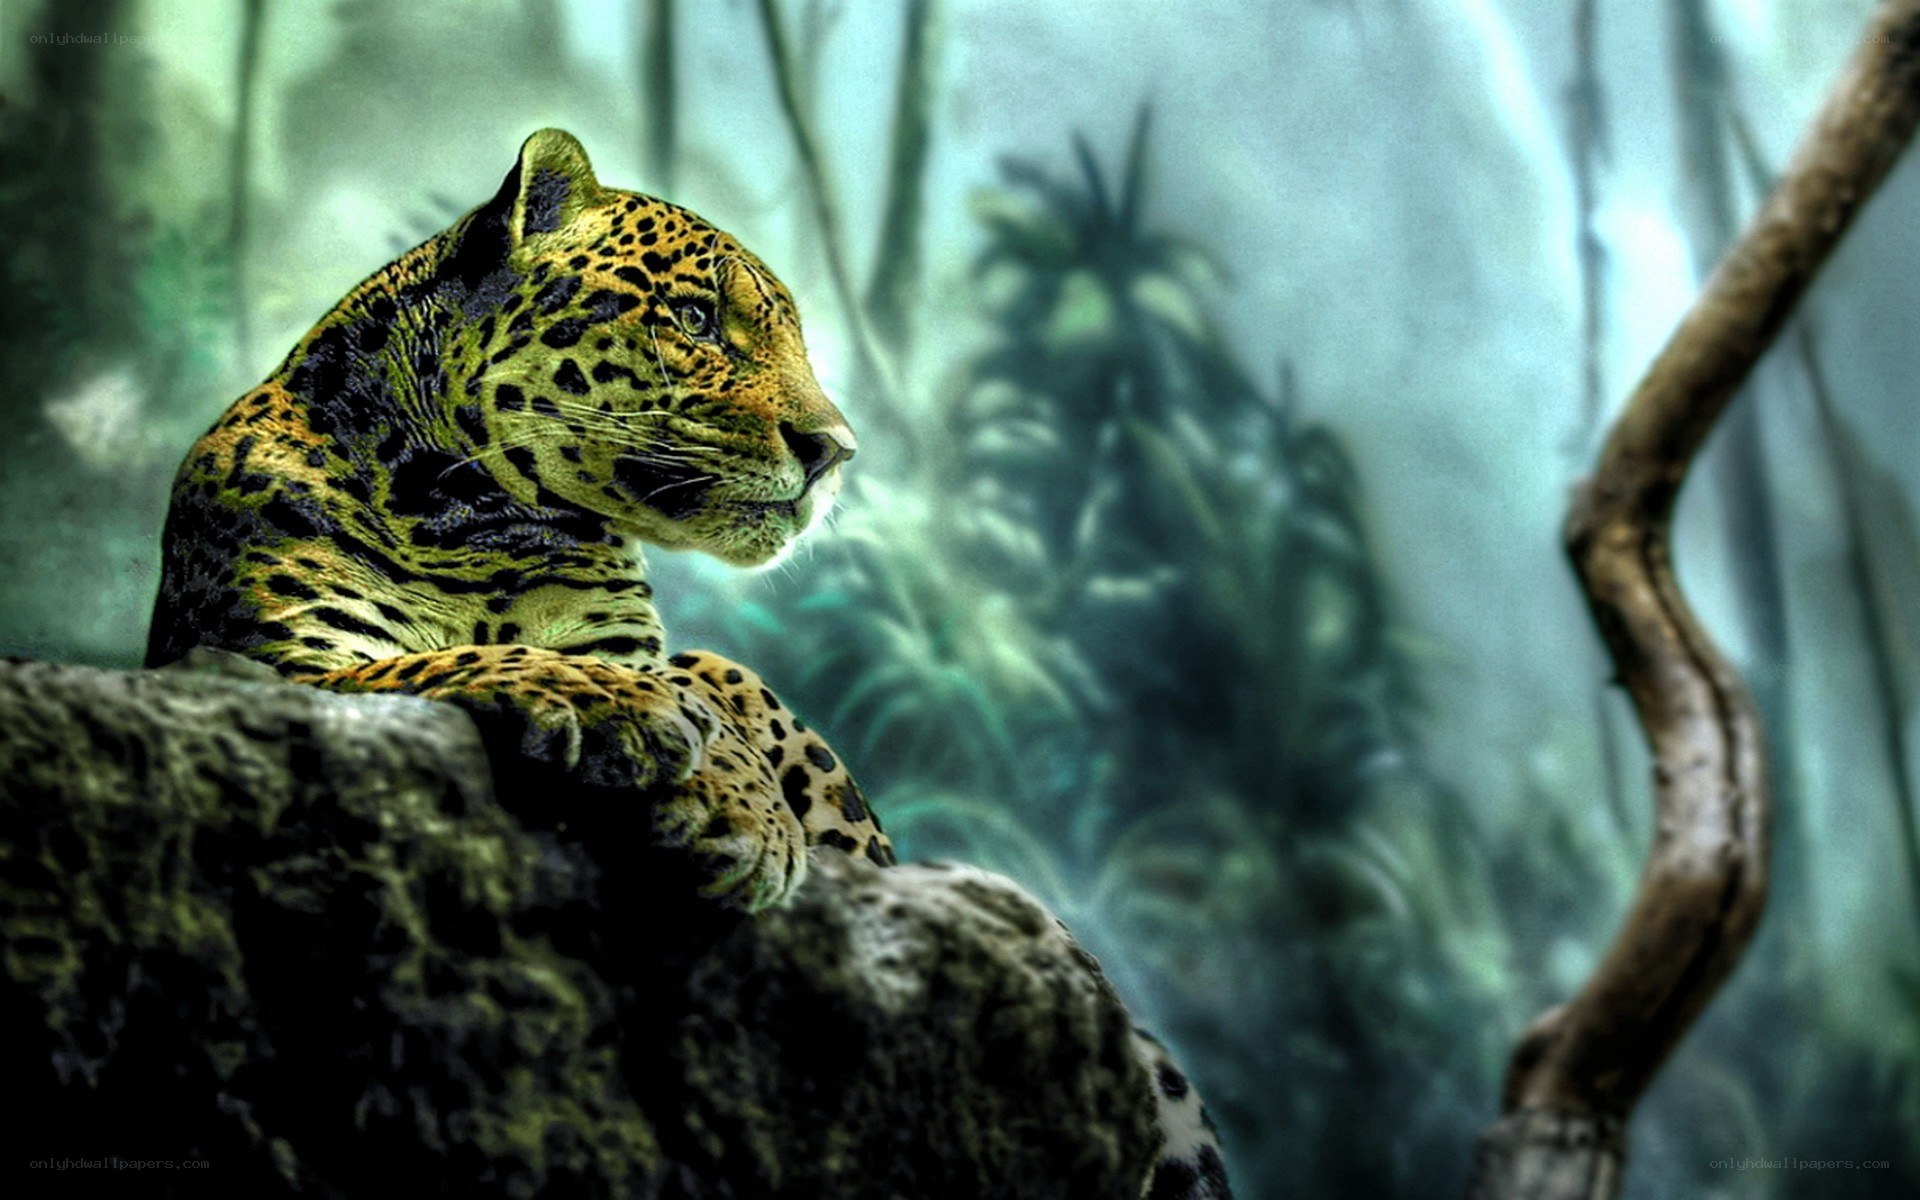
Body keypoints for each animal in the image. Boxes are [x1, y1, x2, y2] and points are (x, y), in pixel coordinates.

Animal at [144, 128, 1231, 1198]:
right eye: (698, 319)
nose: (835, 449)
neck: (467, 518)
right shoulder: (275, 659)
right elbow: (461, 660)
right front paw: (641, 730)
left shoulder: (636, 640)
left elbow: (691, 676)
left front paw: (739, 812)